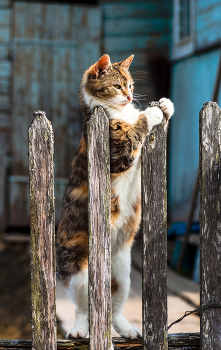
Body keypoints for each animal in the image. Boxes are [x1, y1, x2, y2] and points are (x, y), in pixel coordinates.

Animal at [55, 54, 174, 340]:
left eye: (130, 85)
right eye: (117, 86)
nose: (130, 97)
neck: (118, 112)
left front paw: (165, 105)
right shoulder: (119, 152)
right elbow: (137, 128)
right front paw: (151, 113)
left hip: (123, 273)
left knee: (115, 306)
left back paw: (127, 329)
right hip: (78, 271)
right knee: (84, 308)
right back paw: (79, 330)